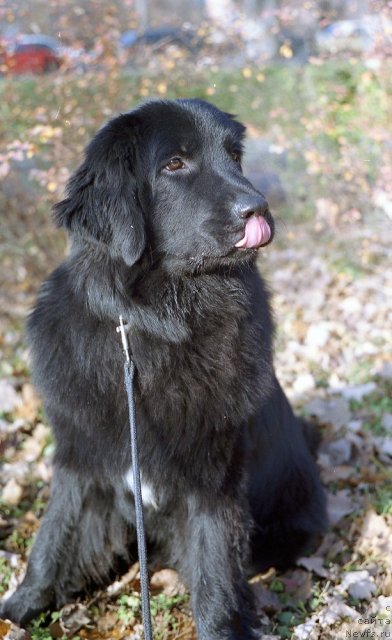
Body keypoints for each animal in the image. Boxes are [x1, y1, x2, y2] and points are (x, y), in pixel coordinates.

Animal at [0, 100, 324, 640]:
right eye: (175, 164)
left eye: (234, 156)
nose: (257, 208)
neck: (154, 326)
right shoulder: (81, 458)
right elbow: (53, 539)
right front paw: (22, 608)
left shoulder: (212, 481)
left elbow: (215, 579)